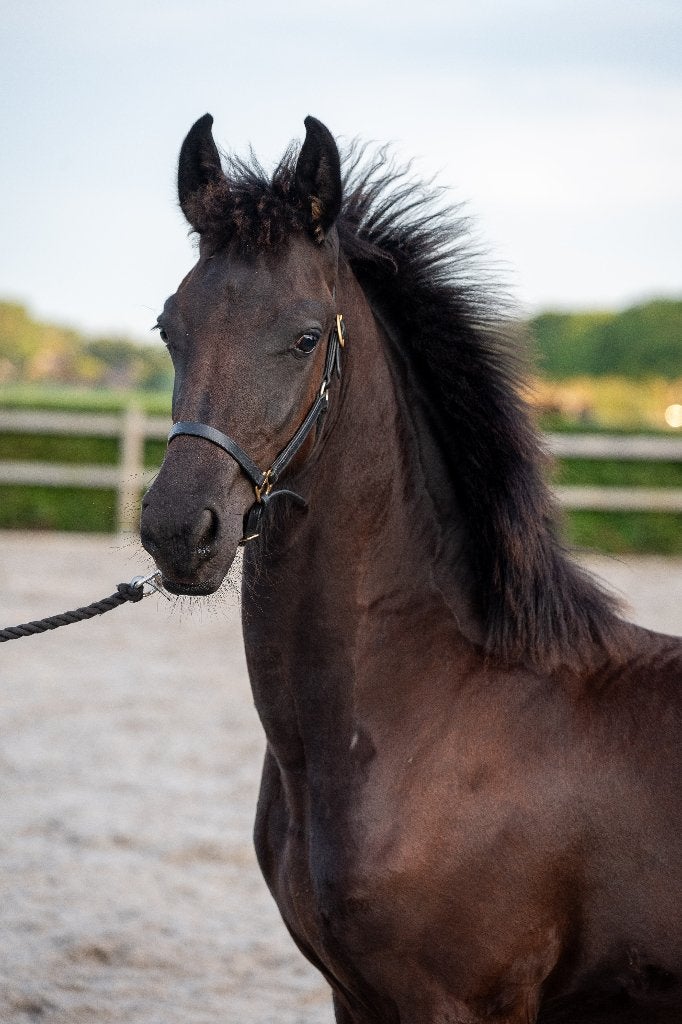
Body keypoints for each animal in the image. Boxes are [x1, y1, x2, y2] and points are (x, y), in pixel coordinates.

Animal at [140, 114, 682, 1023]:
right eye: (168, 328)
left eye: (306, 337)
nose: (179, 530)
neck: (442, 699)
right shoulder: (353, 997)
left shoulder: (459, 1004)